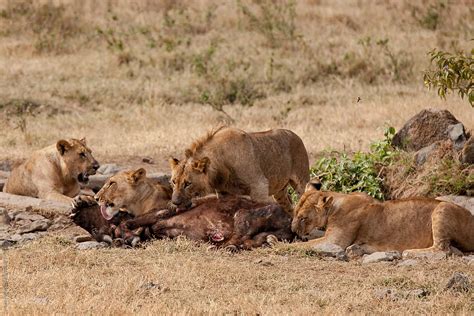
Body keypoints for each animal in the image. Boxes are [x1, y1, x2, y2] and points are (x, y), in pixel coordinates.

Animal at [168, 127, 310, 214]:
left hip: (301, 181)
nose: (175, 202)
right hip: (279, 191)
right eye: (174, 182)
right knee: (289, 206)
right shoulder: (224, 192)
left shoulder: (259, 185)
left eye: (188, 184)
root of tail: (295, 134)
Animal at [290, 184, 474, 256]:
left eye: (302, 218)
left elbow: (306, 245)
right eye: (294, 213)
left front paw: (284, 245)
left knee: (442, 249)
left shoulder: (334, 241)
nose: (292, 230)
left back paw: (408, 252)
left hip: (443, 207)